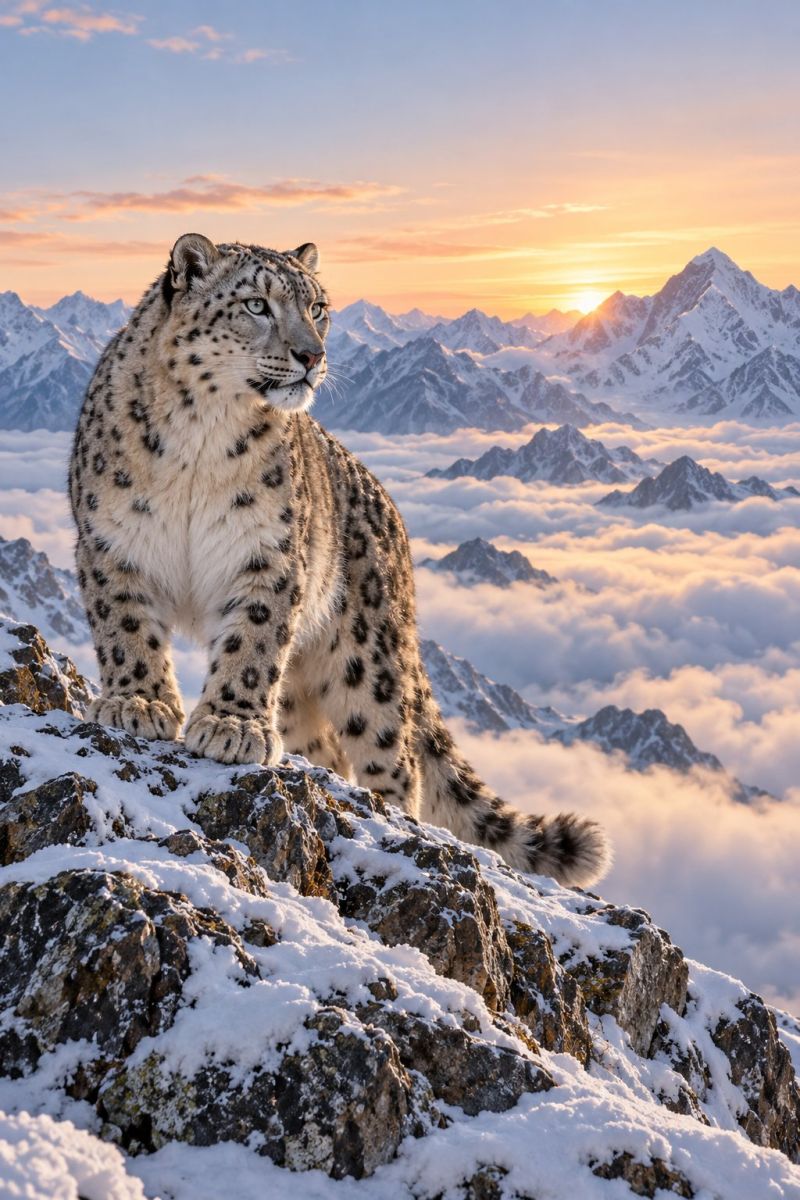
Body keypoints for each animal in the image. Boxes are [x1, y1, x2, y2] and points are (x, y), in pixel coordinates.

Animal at [69, 233, 609, 886]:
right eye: (256, 304)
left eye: (318, 307)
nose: (311, 354)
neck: (199, 436)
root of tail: (398, 531)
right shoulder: (112, 543)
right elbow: (127, 629)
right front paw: (139, 703)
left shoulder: (269, 556)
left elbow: (250, 646)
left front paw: (230, 725)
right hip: (305, 688)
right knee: (323, 744)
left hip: (367, 662)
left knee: (395, 757)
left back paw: (392, 816)